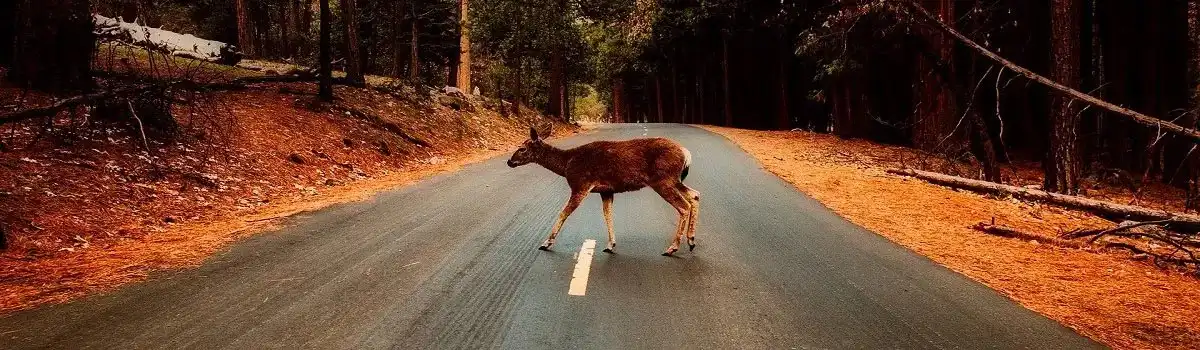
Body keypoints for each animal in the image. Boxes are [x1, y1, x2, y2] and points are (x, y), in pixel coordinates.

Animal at [508, 124, 700, 255]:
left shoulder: (581, 184)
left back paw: (672, 248)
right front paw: (610, 244)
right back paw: (691, 241)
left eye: (522, 148)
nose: (509, 161)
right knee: (695, 195)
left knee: (684, 206)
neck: (567, 163)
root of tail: (686, 153)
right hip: (674, 179)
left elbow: (563, 212)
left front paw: (546, 243)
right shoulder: (606, 190)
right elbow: (607, 214)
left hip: (663, 180)